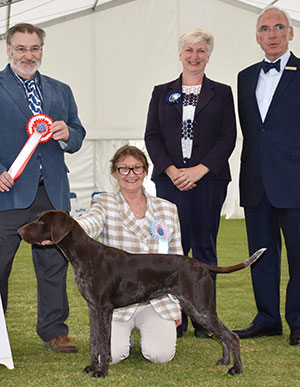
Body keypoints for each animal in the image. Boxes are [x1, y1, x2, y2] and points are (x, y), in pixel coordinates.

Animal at [18, 211, 264, 378]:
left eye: (41, 221)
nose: (19, 231)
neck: (83, 256)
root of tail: (202, 265)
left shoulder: (103, 308)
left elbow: (104, 343)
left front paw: (102, 372)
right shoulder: (93, 308)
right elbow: (94, 341)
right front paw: (92, 367)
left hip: (199, 307)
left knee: (231, 336)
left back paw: (236, 368)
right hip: (195, 308)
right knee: (222, 335)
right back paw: (224, 360)